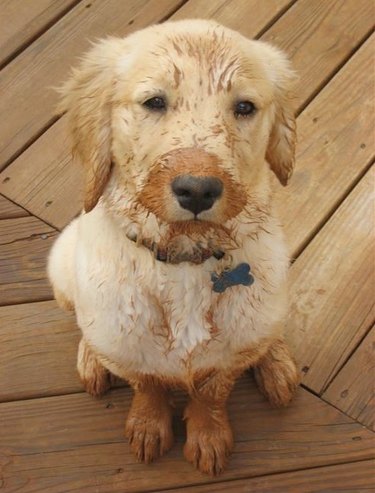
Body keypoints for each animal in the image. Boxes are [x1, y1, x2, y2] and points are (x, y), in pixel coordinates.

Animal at [48, 18, 300, 472]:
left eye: (244, 107)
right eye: (154, 102)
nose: (197, 190)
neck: (185, 260)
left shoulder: (227, 358)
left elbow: (212, 391)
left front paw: (208, 436)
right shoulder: (130, 349)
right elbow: (147, 384)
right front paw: (149, 427)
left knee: (264, 335)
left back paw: (275, 363)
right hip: (61, 265)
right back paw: (91, 359)